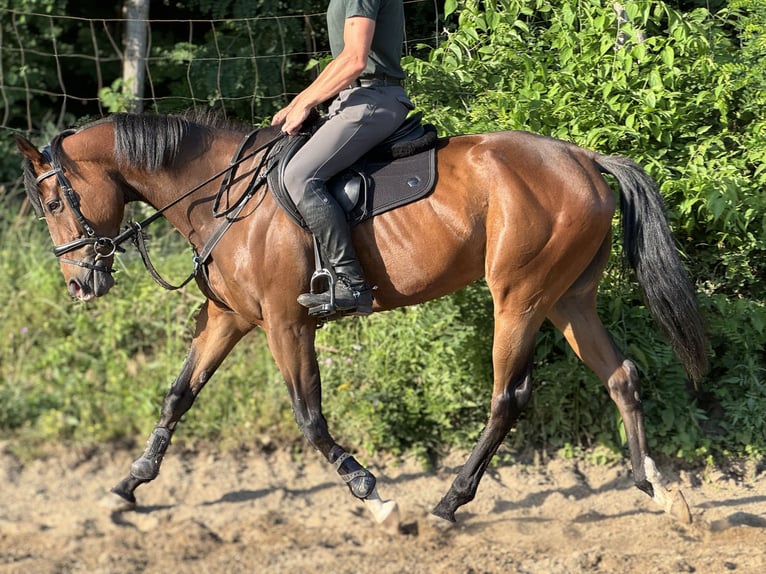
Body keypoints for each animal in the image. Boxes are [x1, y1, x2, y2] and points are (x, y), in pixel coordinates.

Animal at [15, 112, 708, 532]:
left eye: (51, 201)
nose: (78, 284)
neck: (225, 201)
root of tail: (583, 158)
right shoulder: (228, 317)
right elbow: (179, 395)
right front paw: (127, 485)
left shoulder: (286, 325)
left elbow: (310, 417)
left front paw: (371, 491)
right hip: (568, 301)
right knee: (620, 376)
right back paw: (655, 487)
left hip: (520, 297)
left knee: (507, 398)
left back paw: (449, 502)